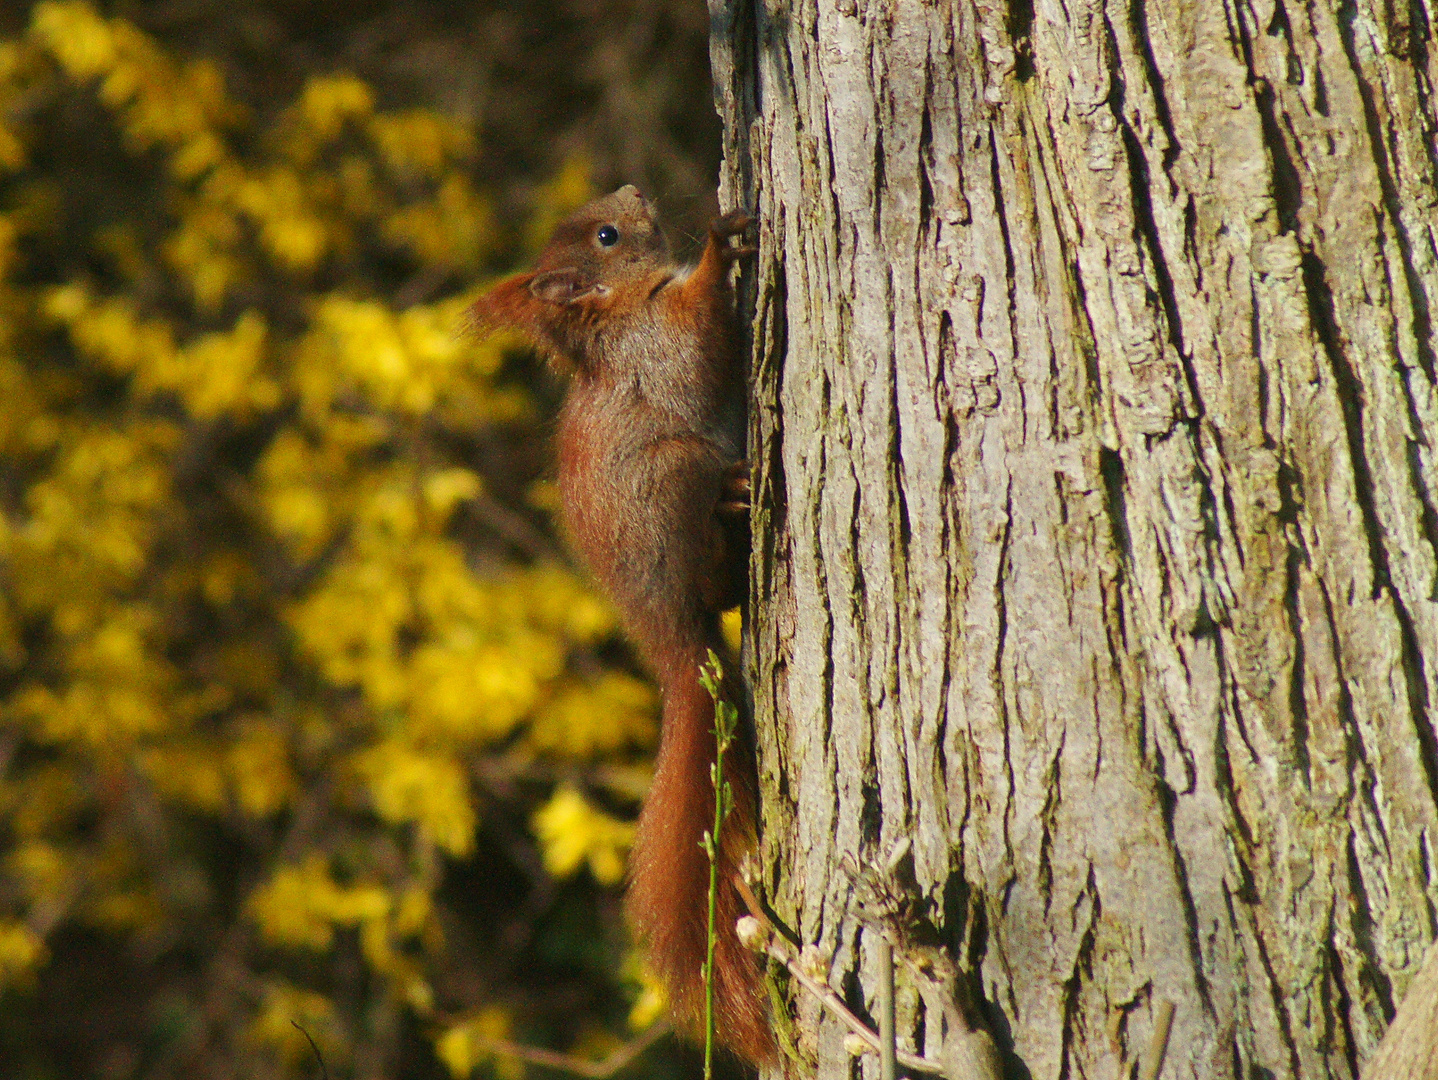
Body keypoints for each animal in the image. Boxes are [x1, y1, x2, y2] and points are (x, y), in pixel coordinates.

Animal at [468, 185, 776, 1064]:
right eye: (608, 235)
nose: (634, 192)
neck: (621, 313)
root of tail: (675, 643)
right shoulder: (659, 344)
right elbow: (699, 329)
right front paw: (719, 244)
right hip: (677, 475)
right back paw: (735, 510)